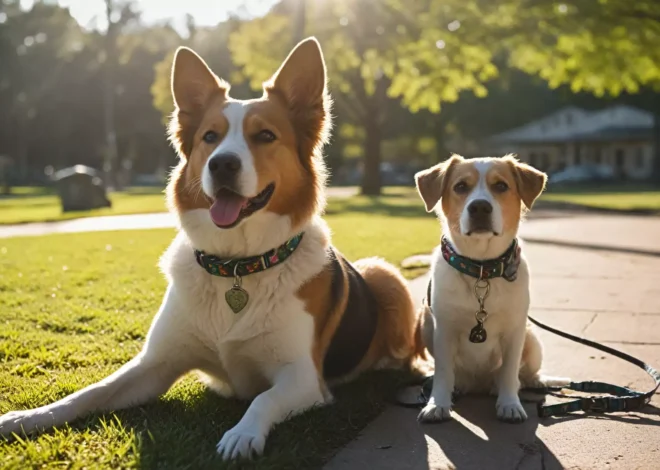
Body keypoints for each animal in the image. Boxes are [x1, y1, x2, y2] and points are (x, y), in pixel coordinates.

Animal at [0, 39, 422, 458]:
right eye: (209, 137)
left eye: (265, 136)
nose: (221, 165)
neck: (237, 265)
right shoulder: (154, 364)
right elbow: (91, 391)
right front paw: (28, 417)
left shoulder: (303, 377)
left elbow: (263, 399)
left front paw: (243, 434)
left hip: (384, 273)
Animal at [416, 156, 564, 424]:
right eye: (460, 186)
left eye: (501, 186)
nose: (480, 207)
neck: (482, 269)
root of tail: (480, 385)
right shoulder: (443, 331)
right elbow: (443, 372)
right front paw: (437, 404)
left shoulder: (515, 331)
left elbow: (509, 371)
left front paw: (509, 404)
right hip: (423, 326)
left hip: (532, 339)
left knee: (523, 374)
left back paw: (530, 382)